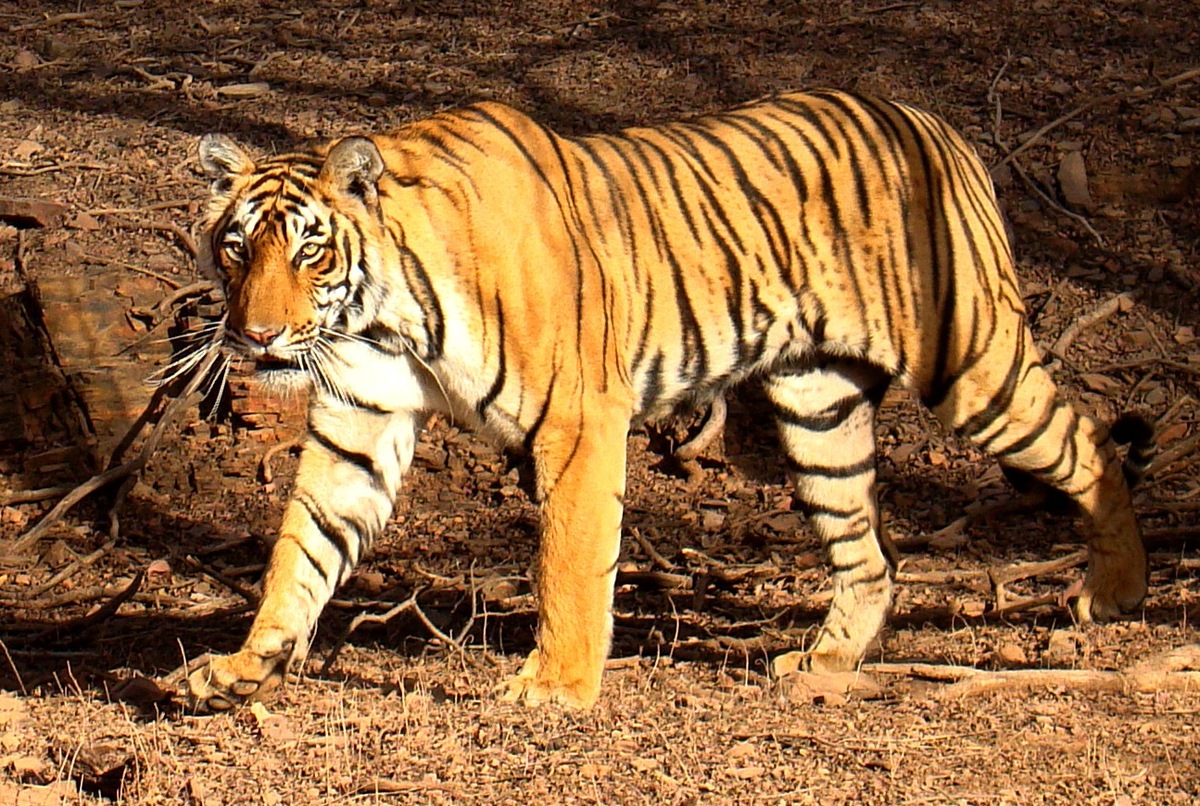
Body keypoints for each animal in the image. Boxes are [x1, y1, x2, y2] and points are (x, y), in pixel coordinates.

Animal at [184, 91, 1152, 714]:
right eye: (237, 247)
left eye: (309, 251)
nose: (258, 336)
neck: (383, 315)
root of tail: (936, 124)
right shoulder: (361, 419)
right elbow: (301, 551)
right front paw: (244, 667)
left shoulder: (578, 420)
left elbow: (570, 561)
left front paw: (556, 689)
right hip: (819, 407)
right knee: (870, 556)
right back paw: (826, 661)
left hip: (971, 363)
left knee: (1090, 445)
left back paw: (1118, 592)